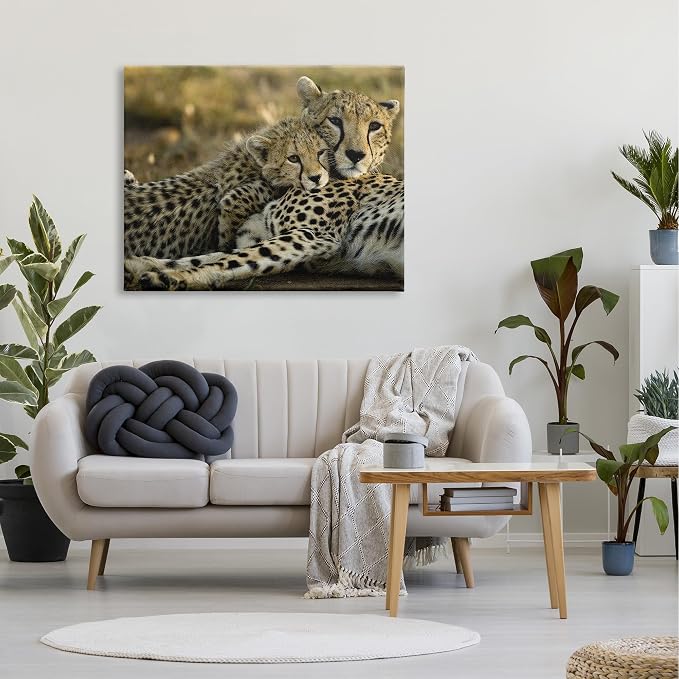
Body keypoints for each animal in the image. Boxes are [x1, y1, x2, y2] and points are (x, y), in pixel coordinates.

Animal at [124, 117, 331, 262]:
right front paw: (225, 247)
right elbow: (228, 233)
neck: (254, 162)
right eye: (293, 158)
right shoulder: (236, 199)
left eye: (320, 152)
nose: (316, 177)